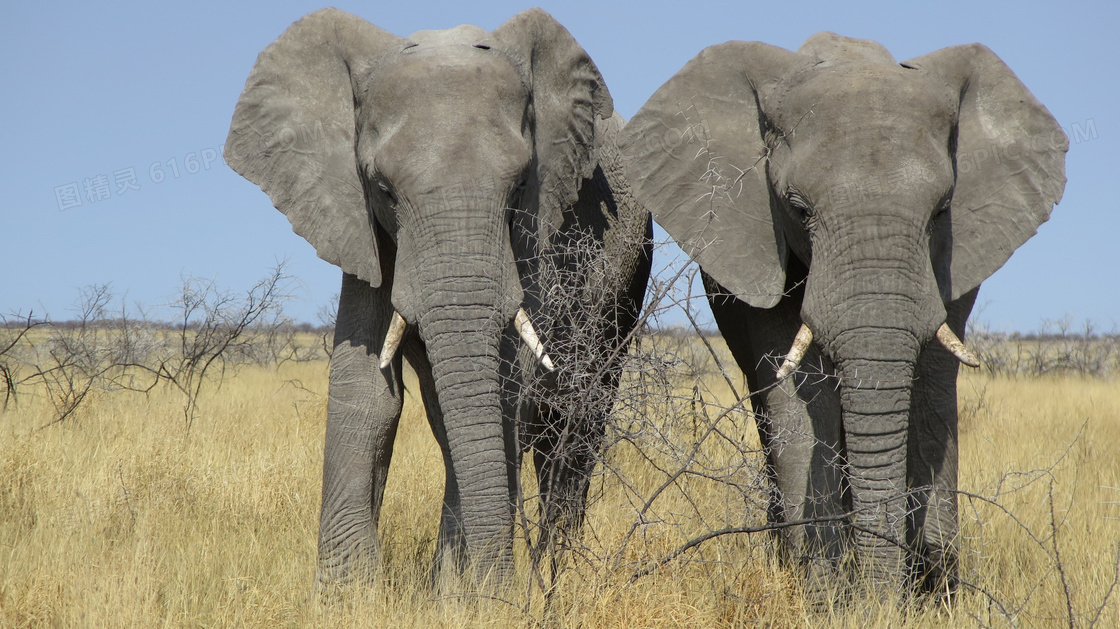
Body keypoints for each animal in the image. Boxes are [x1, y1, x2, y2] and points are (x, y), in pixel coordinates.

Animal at [224, 8, 654, 586]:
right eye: (383, 189)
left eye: (521, 186)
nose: (501, 588)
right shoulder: (361, 224)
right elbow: (366, 386)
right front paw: (349, 593)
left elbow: (505, 388)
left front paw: (464, 595)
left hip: (624, 281)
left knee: (576, 421)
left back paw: (552, 576)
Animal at [622, 33, 1066, 595]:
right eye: (797, 208)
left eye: (941, 209)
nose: (880, 598)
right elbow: (797, 387)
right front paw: (825, 588)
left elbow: (931, 381)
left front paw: (927, 592)